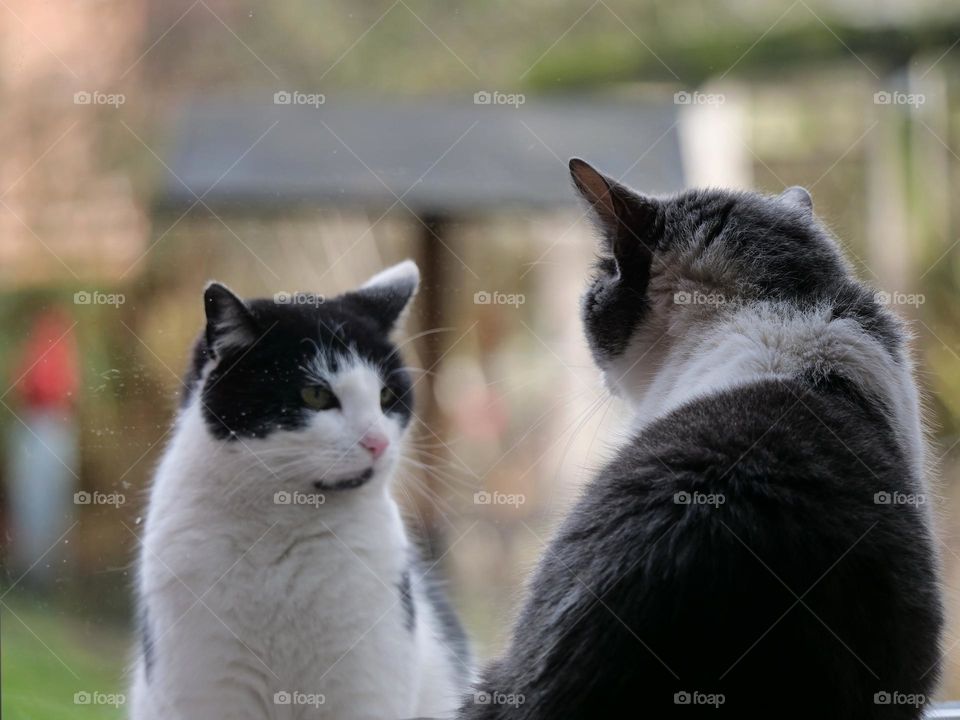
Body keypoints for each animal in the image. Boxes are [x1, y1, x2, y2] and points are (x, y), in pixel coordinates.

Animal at [127, 262, 472, 720]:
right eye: (316, 395)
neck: (280, 529)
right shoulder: (210, 688)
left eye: (386, 395)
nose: (378, 442)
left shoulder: (365, 687)